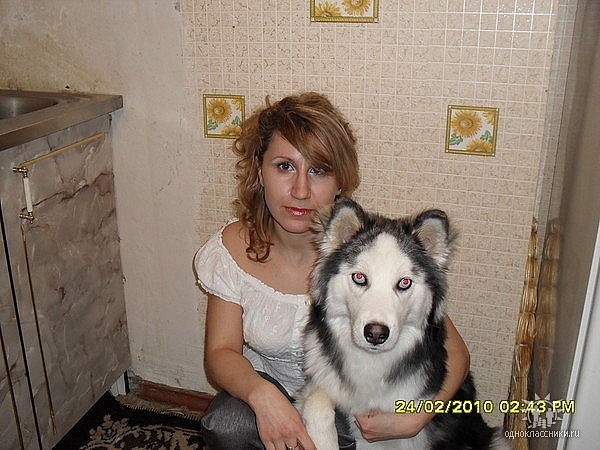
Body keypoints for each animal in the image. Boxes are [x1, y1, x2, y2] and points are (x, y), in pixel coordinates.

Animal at [299, 198, 509, 449]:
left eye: (404, 283)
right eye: (359, 277)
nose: (376, 334)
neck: (371, 364)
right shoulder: (319, 381)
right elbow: (316, 402)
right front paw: (324, 440)